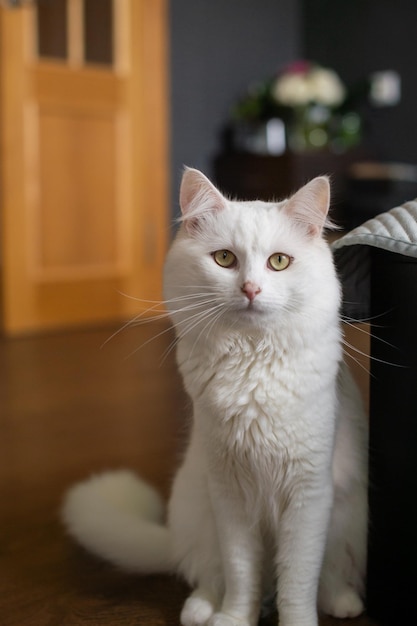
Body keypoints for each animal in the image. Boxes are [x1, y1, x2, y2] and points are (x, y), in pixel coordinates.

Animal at [61, 168, 368, 624]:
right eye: (224, 259)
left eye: (279, 262)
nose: (251, 289)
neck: (251, 367)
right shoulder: (230, 493)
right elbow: (241, 575)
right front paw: (233, 619)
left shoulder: (309, 495)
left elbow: (297, 583)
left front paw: (297, 621)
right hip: (198, 509)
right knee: (209, 576)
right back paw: (201, 611)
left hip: (348, 522)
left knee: (325, 577)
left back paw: (343, 603)